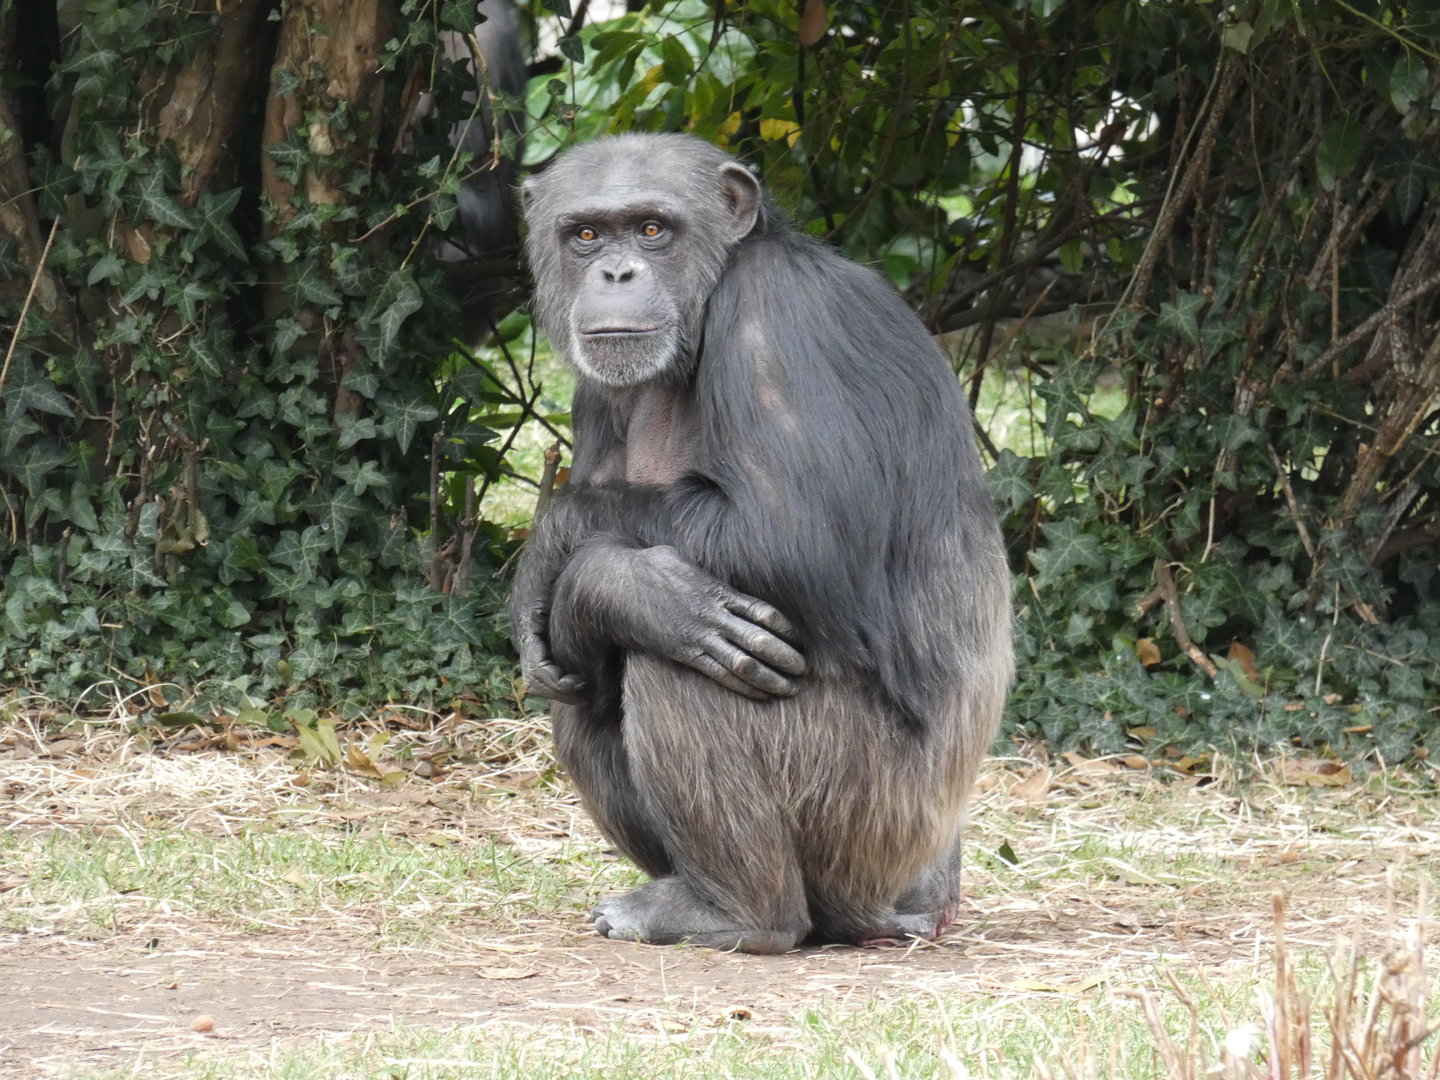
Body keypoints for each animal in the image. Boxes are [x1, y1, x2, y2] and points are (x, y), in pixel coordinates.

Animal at [509, 133, 1012, 954]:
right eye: (585, 234)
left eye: (652, 229)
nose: (617, 272)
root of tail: (923, 899)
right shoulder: (596, 393)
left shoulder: (777, 317)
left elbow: (791, 535)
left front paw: (571, 561)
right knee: (583, 676)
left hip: (864, 814)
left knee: (680, 655)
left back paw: (730, 911)